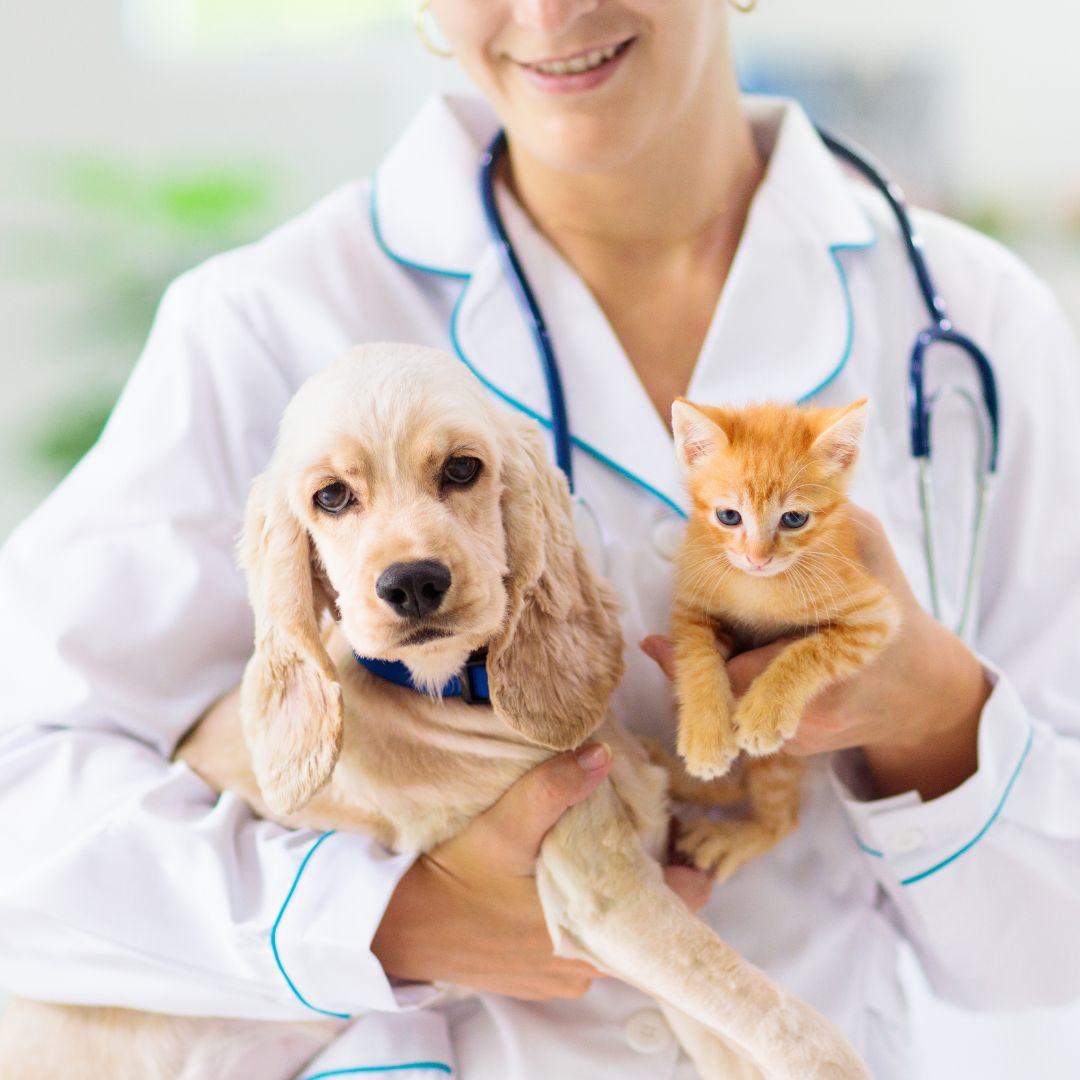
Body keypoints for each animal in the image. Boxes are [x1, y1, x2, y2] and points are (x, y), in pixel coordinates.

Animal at [669, 401, 898, 881]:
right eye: (728, 516)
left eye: (794, 518)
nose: (758, 558)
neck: (759, 588)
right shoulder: (691, 605)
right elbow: (696, 659)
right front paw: (706, 734)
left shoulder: (875, 615)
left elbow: (812, 650)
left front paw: (766, 710)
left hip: (782, 762)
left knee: (781, 817)